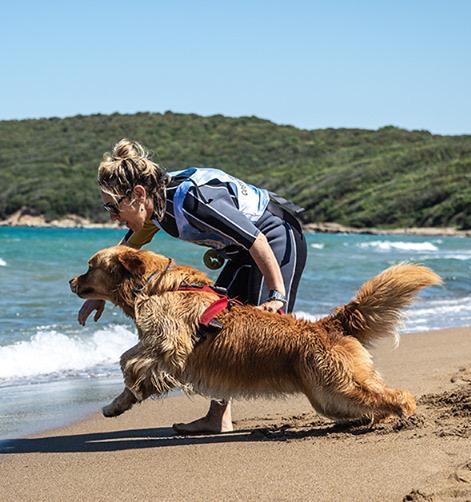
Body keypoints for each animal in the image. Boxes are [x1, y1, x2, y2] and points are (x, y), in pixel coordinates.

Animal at [69, 245, 441, 424]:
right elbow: (136, 372)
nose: (71, 281)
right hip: (328, 395)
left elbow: (131, 357)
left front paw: (128, 378)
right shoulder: (164, 349)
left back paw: (405, 414)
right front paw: (116, 406)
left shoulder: (170, 344)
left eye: (89, 266)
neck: (152, 285)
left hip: (339, 383)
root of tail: (326, 324)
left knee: (396, 395)